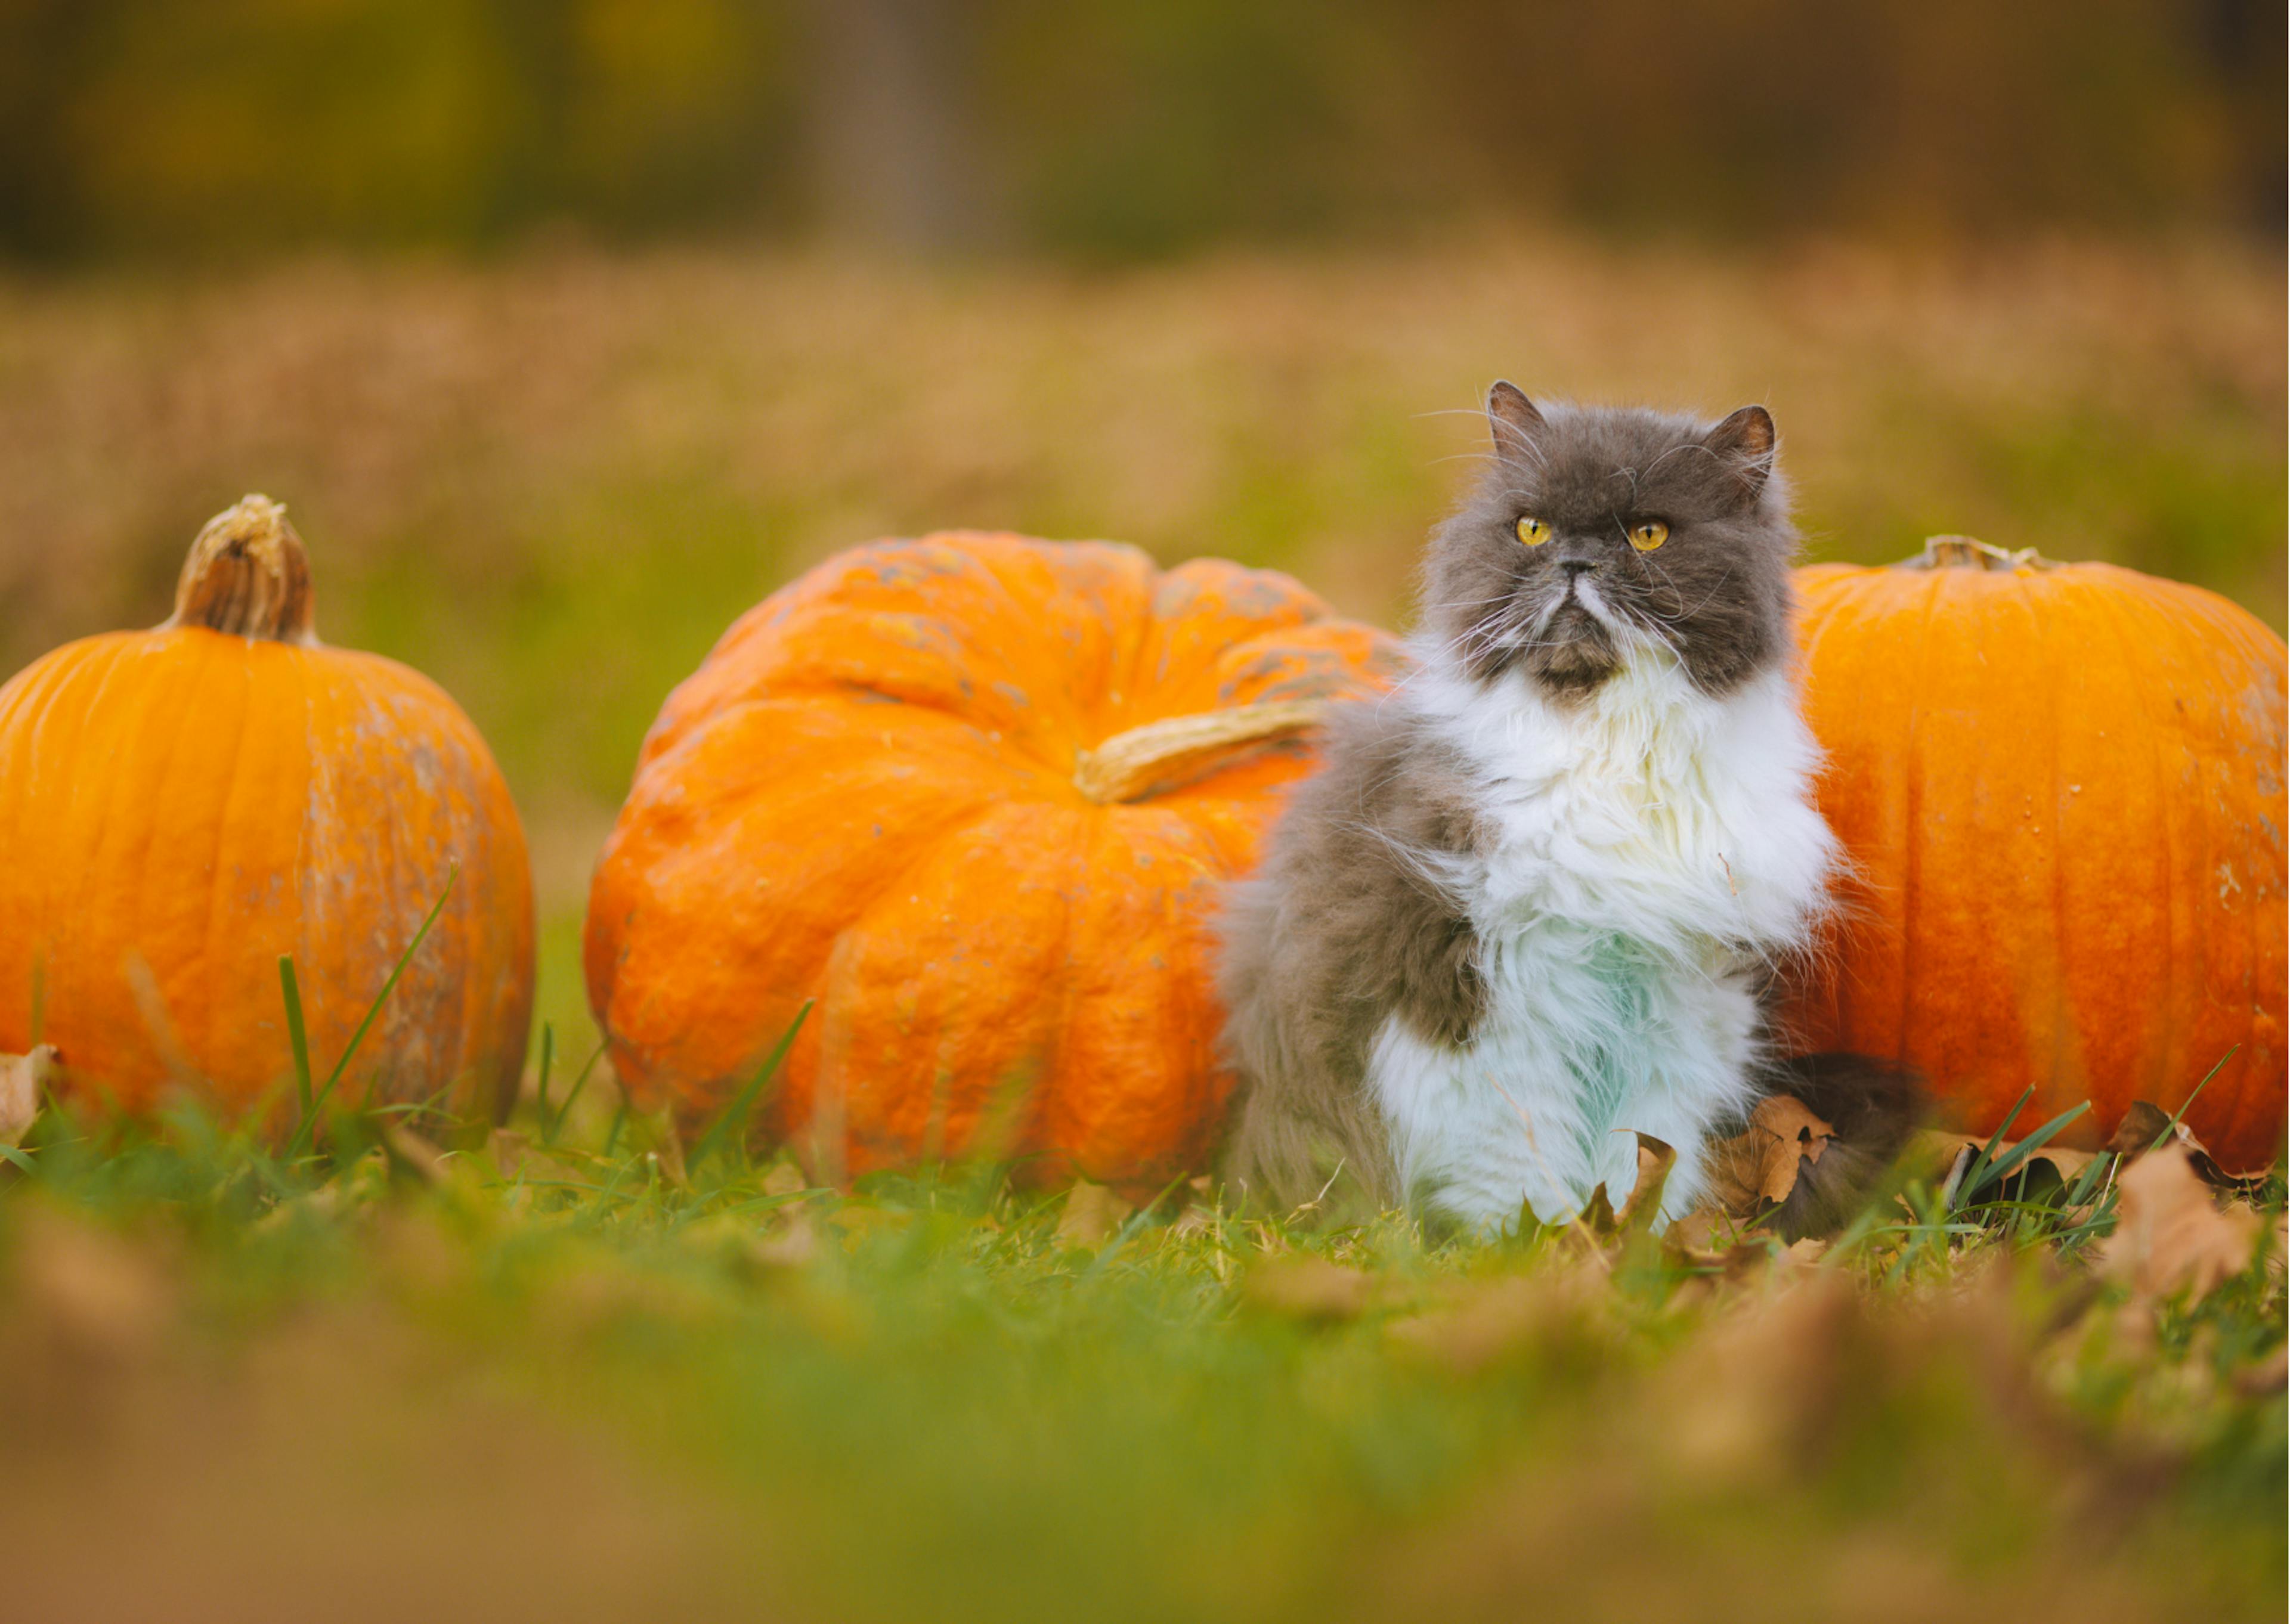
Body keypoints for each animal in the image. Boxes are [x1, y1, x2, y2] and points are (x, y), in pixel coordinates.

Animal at [1218, 382, 1914, 1228]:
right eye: (1532, 528)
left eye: (1648, 534)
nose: (1576, 560)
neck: (1609, 746)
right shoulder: (1481, 997)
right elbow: (1518, 1158)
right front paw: (1543, 1247)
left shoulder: (1678, 1005)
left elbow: (1644, 1153)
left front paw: (1633, 1242)